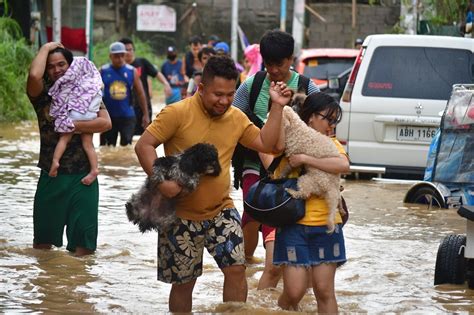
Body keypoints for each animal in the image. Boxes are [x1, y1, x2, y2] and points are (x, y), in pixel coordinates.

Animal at [282, 97, 344, 233]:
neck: (296, 127)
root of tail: (332, 188)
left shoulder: (294, 155)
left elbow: (288, 166)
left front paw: (283, 173)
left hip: (307, 180)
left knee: (304, 194)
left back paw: (292, 192)